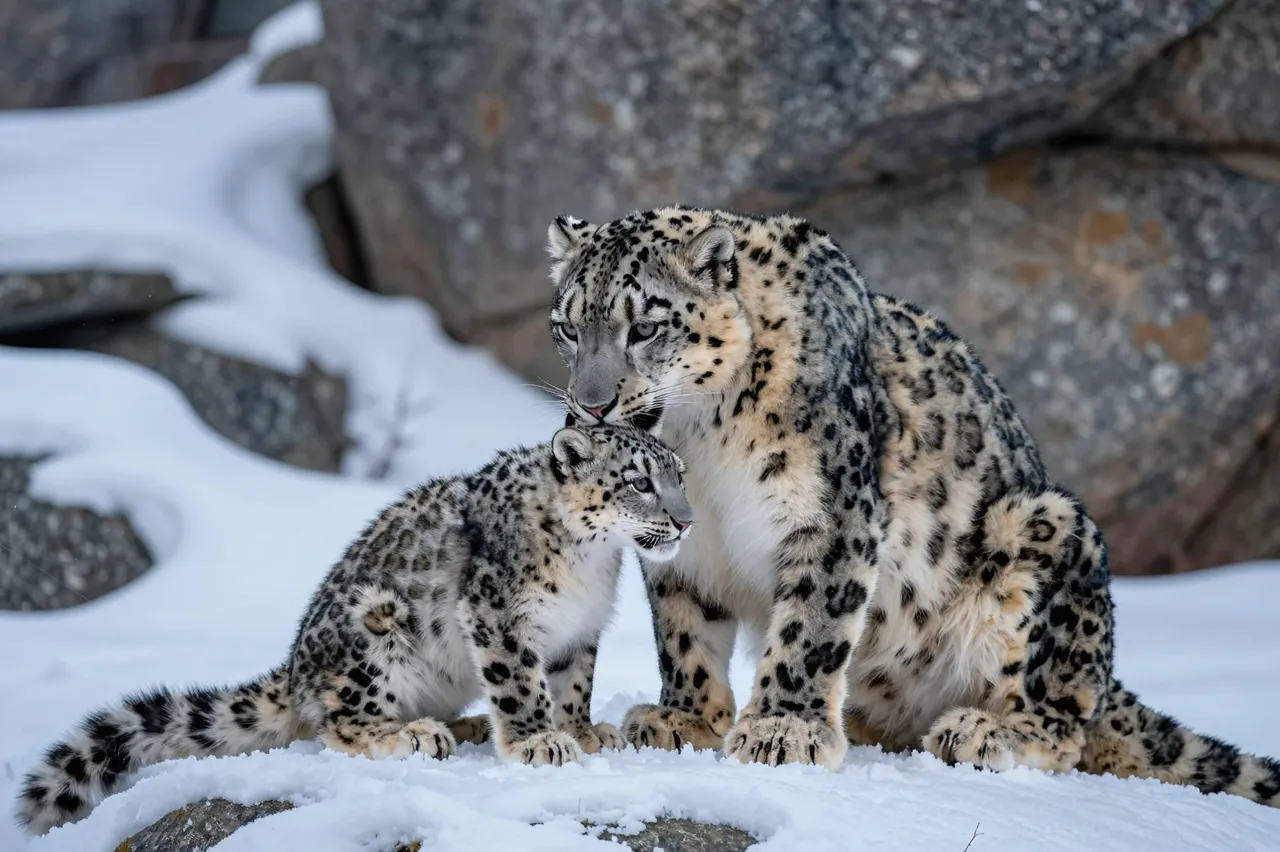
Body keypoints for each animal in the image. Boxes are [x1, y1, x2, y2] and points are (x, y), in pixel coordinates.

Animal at [16, 422, 693, 835]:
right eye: (639, 481)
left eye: (680, 475)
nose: (686, 521)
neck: (590, 562)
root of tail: (294, 670)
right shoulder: (498, 614)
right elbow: (521, 683)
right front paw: (539, 741)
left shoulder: (578, 632)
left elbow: (570, 683)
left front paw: (581, 730)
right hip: (373, 632)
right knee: (340, 725)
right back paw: (413, 735)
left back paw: (463, 723)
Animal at [544, 204, 1280, 807]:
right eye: (566, 328)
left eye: (646, 326)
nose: (592, 404)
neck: (699, 437)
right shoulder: (686, 543)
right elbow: (685, 630)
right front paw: (684, 718)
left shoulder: (833, 514)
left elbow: (811, 625)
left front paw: (783, 730)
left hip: (1044, 532)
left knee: (1062, 718)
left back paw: (984, 732)